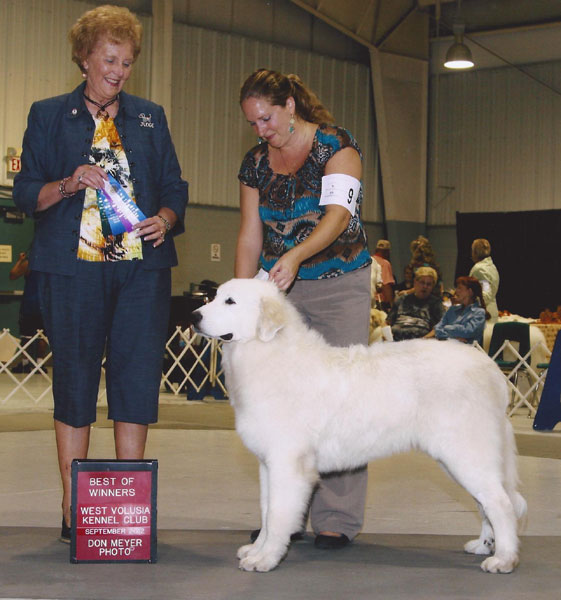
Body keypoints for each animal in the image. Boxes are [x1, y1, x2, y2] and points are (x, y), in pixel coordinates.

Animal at [191, 278, 524, 576]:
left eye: (230, 301)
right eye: (215, 296)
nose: (194, 316)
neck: (268, 352)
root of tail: (491, 369)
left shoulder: (288, 464)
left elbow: (277, 514)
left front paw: (266, 559)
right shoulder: (267, 464)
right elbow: (265, 509)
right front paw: (256, 549)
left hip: (466, 455)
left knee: (501, 504)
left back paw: (503, 559)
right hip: (459, 460)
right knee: (486, 503)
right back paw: (484, 545)